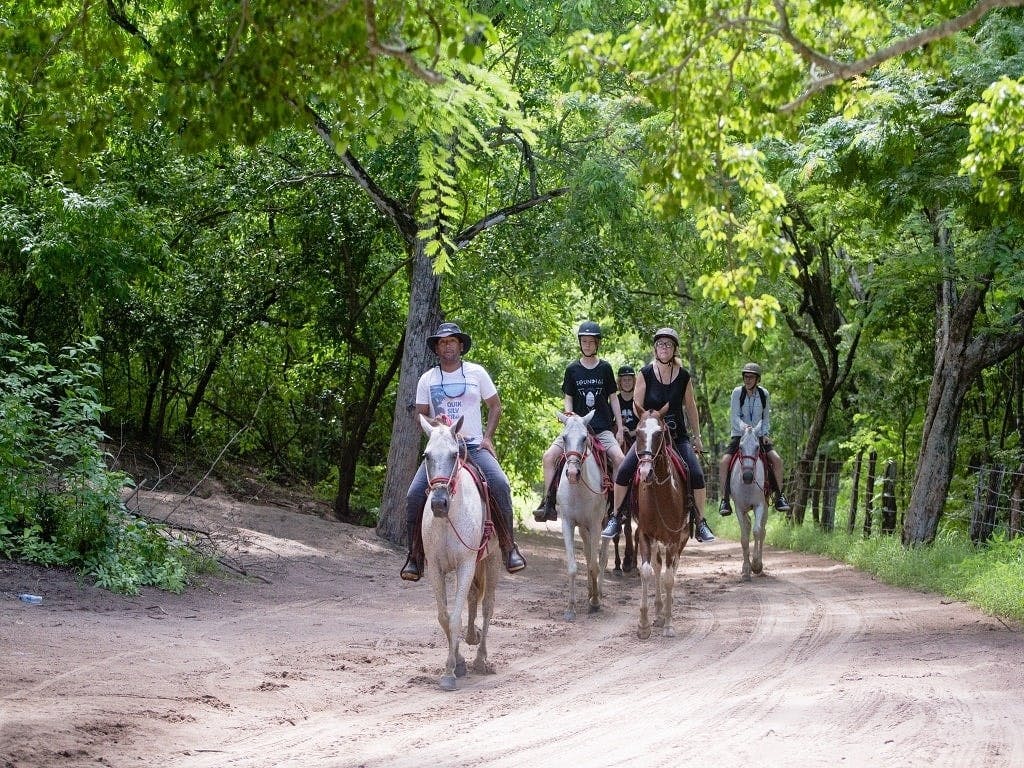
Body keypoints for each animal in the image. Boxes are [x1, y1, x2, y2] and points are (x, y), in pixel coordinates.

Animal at [413, 415, 497, 692]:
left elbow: (455, 619)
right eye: (426, 455)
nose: (439, 503)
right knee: (473, 598)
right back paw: (472, 639)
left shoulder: (466, 565)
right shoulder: (436, 569)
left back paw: (481, 659)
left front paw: (449, 673)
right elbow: (444, 617)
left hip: (492, 560)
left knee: (487, 606)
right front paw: (457, 662)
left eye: (453, 455)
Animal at [552, 411, 606, 622]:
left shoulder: (596, 524)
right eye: (564, 437)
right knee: (589, 553)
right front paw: (570, 609)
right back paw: (590, 592)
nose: (573, 473)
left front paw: (595, 602)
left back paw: (598, 594)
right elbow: (574, 567)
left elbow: (594, 565)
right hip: (583, 528)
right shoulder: (568, 523)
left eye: (584, 438)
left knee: (602, 557)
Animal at [630, 411, 688, 638]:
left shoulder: (674, 539)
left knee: (671, 567)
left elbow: (669, 579)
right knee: (656, 566)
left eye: (659, 434)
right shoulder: (645, 535)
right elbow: (647, 571)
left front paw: (669, 625)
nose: (645, 472)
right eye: (638, 432)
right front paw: (643, 624)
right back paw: (658, 613)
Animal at [729, 421, 770, 581]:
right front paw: (746, 570)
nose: (747, 476)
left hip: (765, 506)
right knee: (747, 526)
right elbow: (744, 538)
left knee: (762, 531)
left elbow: (757, 532)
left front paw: (756, 565)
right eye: (740, 447)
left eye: (757, 447)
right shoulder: (739, 508)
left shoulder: (760, 505)